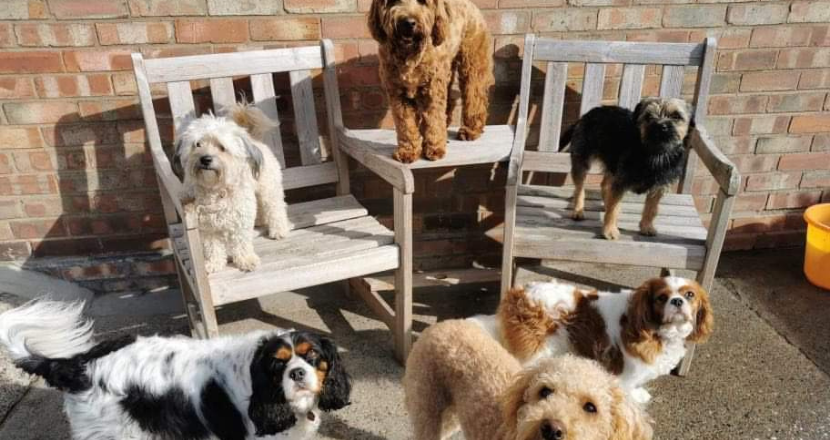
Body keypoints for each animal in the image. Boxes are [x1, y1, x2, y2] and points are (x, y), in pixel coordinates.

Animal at [176, 102, 292, 274]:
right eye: (197, 144)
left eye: (222, 147)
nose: (205, 159)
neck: (215, 188)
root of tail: (254, 139)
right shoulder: (206, 227)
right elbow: (212, 248)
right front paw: (213, 263)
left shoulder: (240, 219)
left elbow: (241, 242)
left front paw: (246, 260)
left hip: (269, 189)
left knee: (276, 207)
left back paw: (279, 230)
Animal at [368, 0, 494, 163]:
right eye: (392, 2)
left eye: (423, 2)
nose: (409, 22)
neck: (410, 55)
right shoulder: (398, 93)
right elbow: (406, 125)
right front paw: (407, 151)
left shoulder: (432, 90)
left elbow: (434, 118)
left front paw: (435, 149)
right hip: (447, 69)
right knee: (450, 101)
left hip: (472, 62)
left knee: (475, 96)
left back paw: (470, 130)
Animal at [472, 276, 712, 404]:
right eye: (661, 298)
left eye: (690, 295)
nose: (677, 301)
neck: (659, 331)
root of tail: (519, 293)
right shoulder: (625, 372)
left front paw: (638, 395)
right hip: (536, 351)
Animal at [564, 97, 696, 241]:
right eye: (649, 116)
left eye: (676, 116)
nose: (661, 126)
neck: (655, 153)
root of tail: (586, 115)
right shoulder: (621, 182)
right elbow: (613, 209)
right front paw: (609, 230)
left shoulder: (658, 187)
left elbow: (651, 208)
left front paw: (646, 226)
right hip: (582, 161)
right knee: (579, 188)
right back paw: (578, 210)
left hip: (613, 164)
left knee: (604, 184)